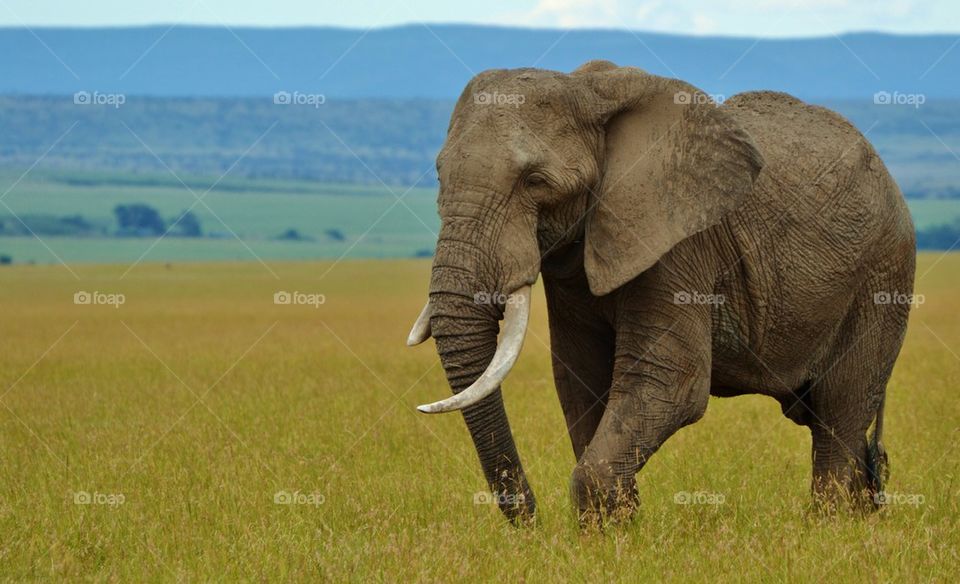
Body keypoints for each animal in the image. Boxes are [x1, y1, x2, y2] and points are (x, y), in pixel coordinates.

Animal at [404, 60, 916, 524]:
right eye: (439, 176)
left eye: (536, 182)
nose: (532, 522)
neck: (586, 88)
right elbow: (581, 382)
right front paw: (617, 529)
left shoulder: (677, 241)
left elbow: (672, 381)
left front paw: (609, 534)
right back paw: (864, 517)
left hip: (882, 273)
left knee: (838, 410)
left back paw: (831, 526)